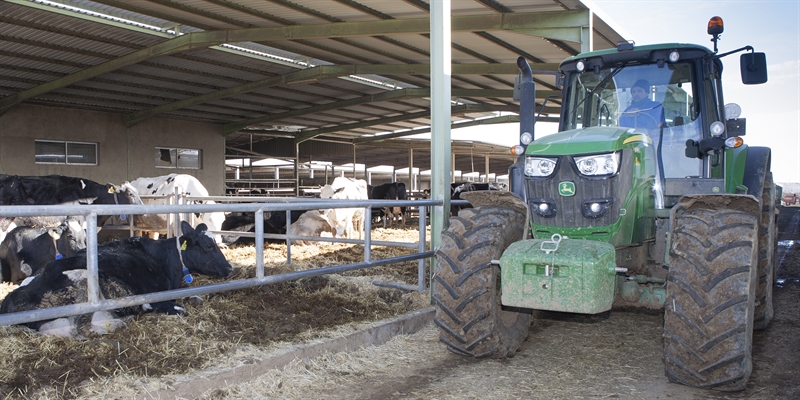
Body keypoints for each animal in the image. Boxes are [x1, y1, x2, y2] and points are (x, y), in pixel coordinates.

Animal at [0, 222, 231, 338]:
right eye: (208, 246)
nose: (229, 268)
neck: (165, 260)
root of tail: (9, 301)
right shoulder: (157, 298)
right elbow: (180, 309)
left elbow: (195, 298)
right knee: (80, 329)